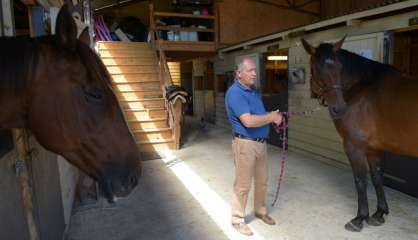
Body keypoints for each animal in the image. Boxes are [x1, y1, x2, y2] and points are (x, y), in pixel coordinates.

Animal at [302, 36, 418, 232]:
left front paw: (359, 218)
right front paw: (379, 213)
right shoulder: (373, 149)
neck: (363, 89)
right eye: (316, 68)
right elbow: (377, 179)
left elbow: (360, 181)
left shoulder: (354, 147)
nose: (339, 108)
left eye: (339, 67)